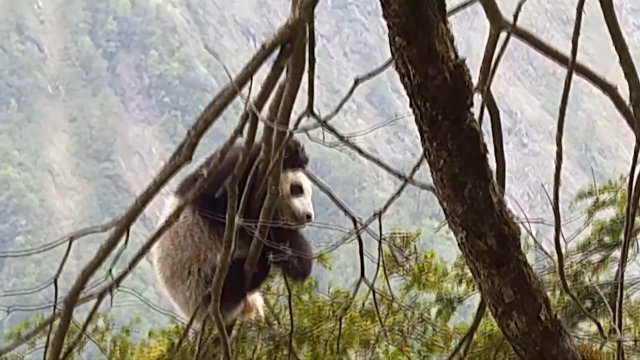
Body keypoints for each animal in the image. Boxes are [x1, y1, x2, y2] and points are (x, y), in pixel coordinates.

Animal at [151, 136, 316, 338]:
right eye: (297, 189)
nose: (308, 216)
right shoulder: (220, 182)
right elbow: (218, 199)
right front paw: (291, 151)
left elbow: (287, 242)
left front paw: (293, 259)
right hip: (199, 280)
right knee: (233, 282)